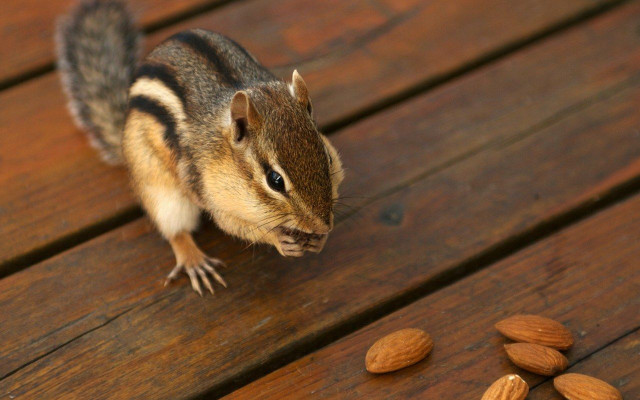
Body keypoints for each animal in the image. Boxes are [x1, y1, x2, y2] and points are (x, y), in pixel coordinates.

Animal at [55, 0, 344, 295]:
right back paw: (194, 261)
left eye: (327, 157)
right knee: (174, 229)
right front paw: (277, 238)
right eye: (275, 180)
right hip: (155, 184)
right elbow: (232, 224)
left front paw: (321, 239)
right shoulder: (208, 189)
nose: (322, 226)